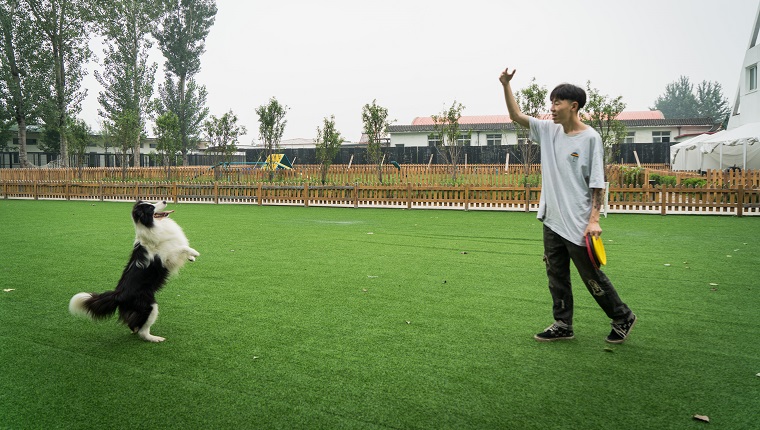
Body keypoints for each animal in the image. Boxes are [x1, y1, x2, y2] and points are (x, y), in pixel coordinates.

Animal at [69, 199, 199, 342]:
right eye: (150, 207)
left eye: (151, 202)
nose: (165, 200)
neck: (153, 226)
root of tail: (119, 294)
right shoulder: (167, 258)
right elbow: (182, 248)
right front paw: (195, 253)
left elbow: (181, 247)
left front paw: (191, 258)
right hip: (150, 306)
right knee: (143, 331)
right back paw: (155, 338)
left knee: (133, 324)